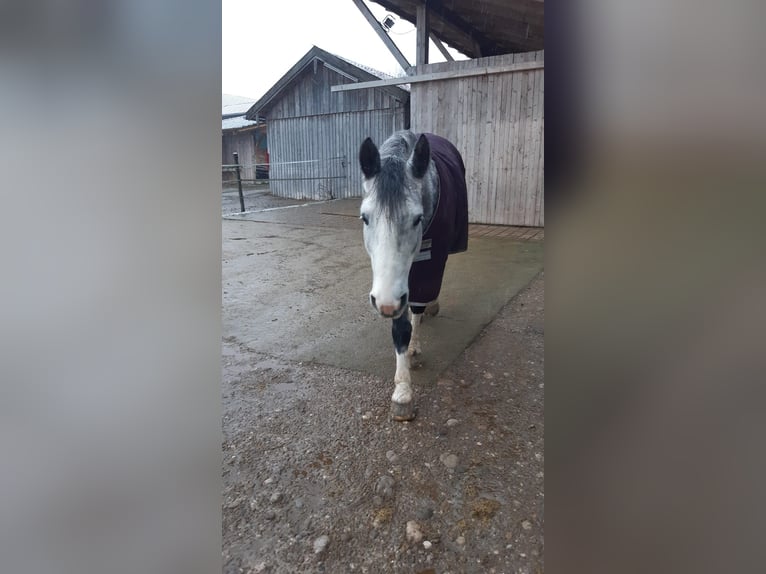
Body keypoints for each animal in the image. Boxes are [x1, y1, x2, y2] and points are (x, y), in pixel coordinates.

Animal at [358, 130, 468, 424]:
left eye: (417, 219)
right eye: (364, 218)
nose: (385, 304)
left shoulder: (428, 263)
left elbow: (415, 310)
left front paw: (406, 385)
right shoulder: (395, 289)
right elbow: (400, 328)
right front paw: (402, 392)